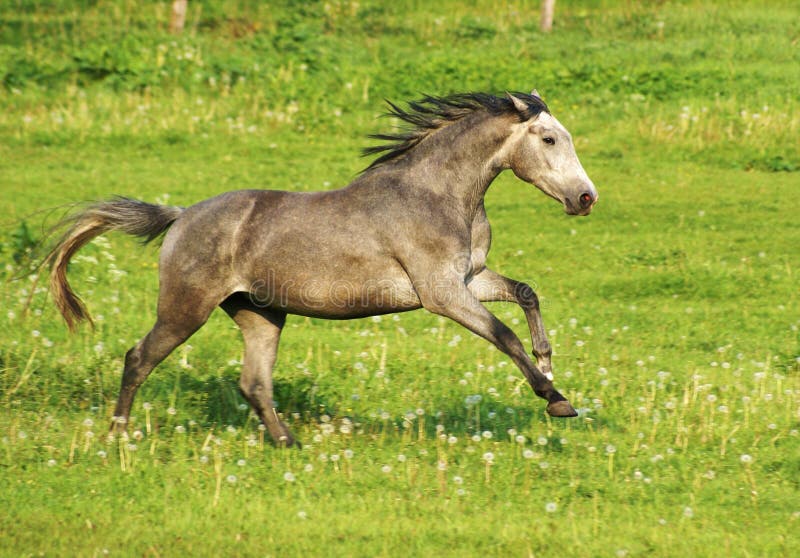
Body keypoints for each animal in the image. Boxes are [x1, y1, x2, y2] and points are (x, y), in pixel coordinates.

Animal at [46, 90, 598, 446]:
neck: (437, 195)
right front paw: (555, 398)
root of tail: (180, 217)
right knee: (138, 358)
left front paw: (548, 362)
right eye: (549, 140)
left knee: (254, 383)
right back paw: (118, 437)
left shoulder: (469, 280)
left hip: (260, 315)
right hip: (185, 309)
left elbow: (526, 293)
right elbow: (503, 335)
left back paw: (288, 443)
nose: (586, 198)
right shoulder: (440, 293)